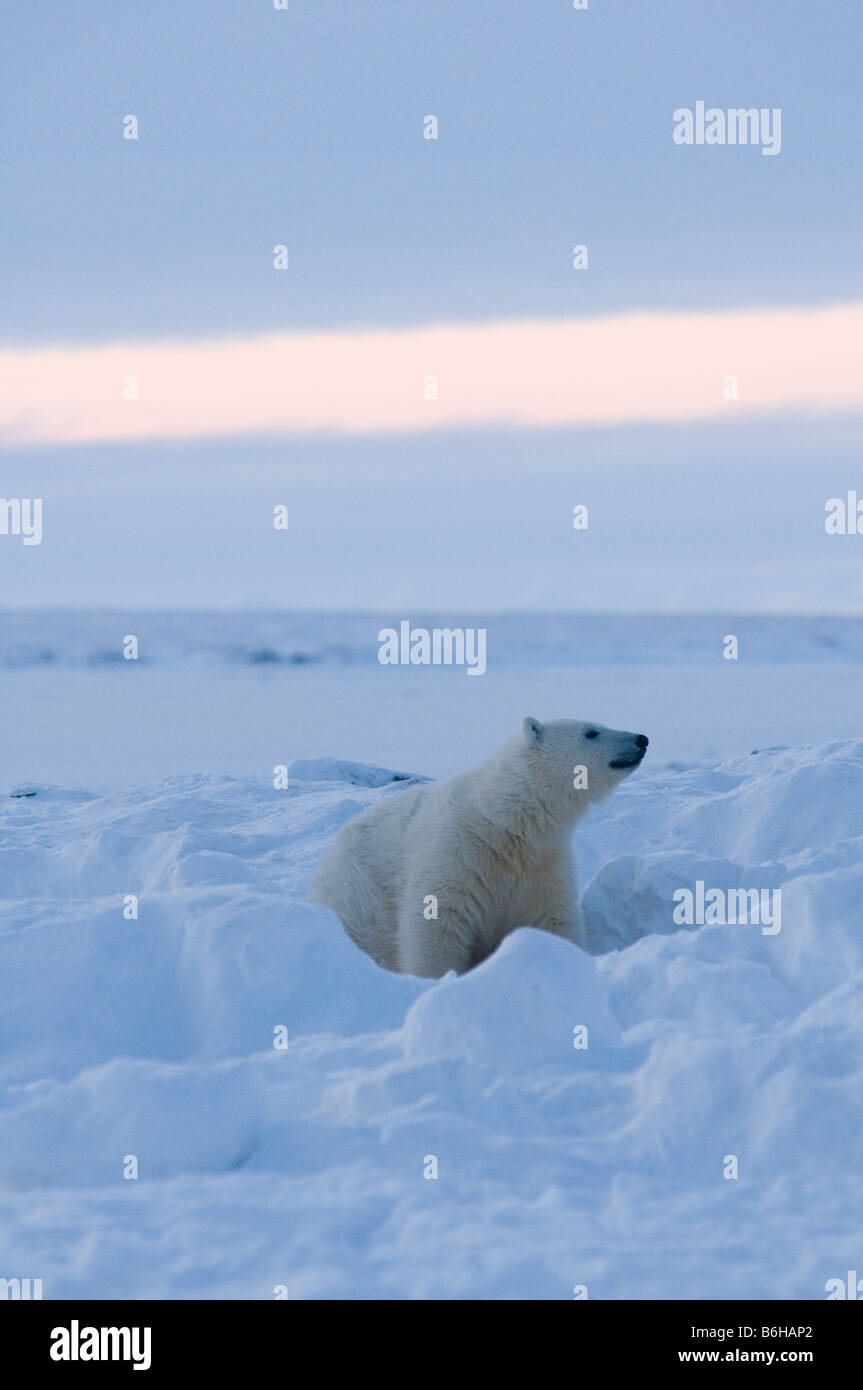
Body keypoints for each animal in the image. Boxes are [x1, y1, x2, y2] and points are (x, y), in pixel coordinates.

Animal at [308, 717, 644, 978]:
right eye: (591, 732)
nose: (642, 738)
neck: (505, 822)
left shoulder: (543, 862)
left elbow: (550, 916)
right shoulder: (458, 852)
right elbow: (436, 919)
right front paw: (434, 980)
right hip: (357, 895)